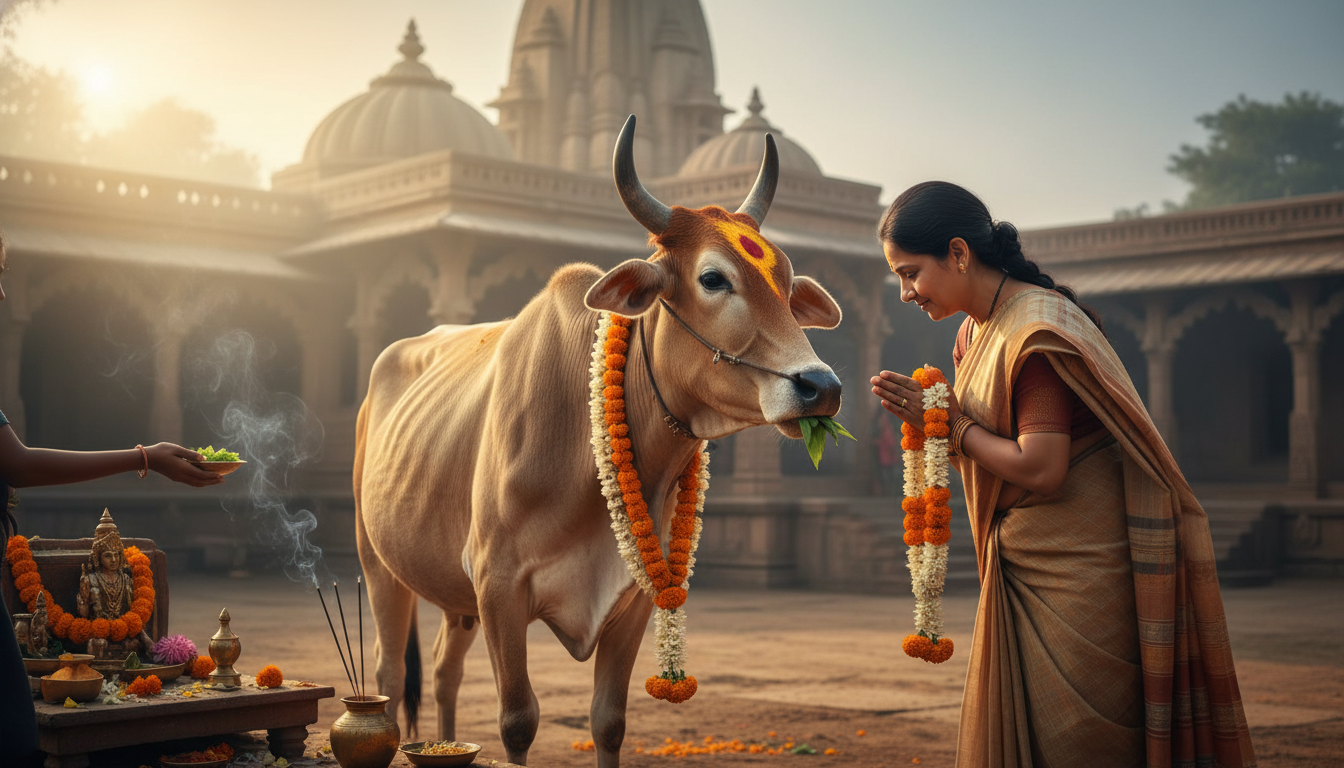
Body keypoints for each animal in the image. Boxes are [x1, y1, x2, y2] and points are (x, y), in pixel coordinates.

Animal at [354, 114, 844, 767]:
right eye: (714, 278)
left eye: (788, 285)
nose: (820, 386)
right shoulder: (498, 587)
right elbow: (518, 722)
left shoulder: (631, 600)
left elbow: (608, 722)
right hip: (379, 563)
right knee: (387, 673)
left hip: (456, 598)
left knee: (441, 671)